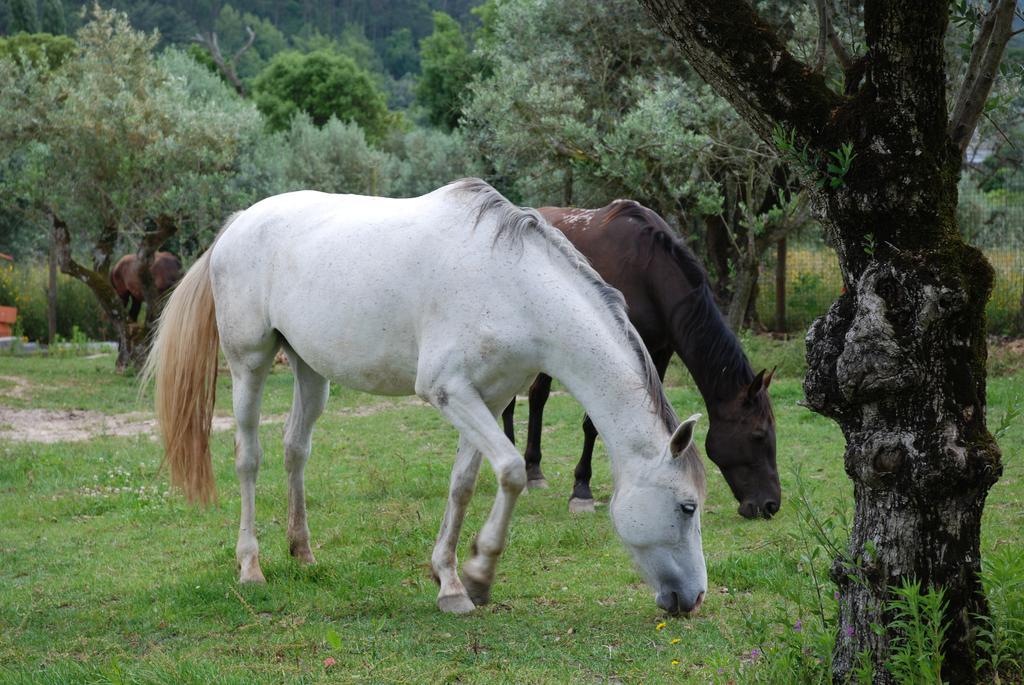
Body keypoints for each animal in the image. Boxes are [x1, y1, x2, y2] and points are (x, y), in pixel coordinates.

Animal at [144, 178, 708, 614]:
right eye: (687, 507)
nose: (695, 598)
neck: (513, 287)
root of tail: (238, 223)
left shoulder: (489, 399)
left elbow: (464, 484)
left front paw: (452, 581)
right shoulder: (450, 392)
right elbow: (511, 470)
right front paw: (478, 575)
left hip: (309, 369)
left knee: (295, 449)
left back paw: (302, 552)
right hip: (249, 363)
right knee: (249, 457)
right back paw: (251, 565)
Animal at [499, 201, 778, 518]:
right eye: (758, 435)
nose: (770, 504)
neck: (649, 273)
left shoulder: (659, 352)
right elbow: (592, 425)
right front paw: (581, 489)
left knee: (537, 396)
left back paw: (534, 470)